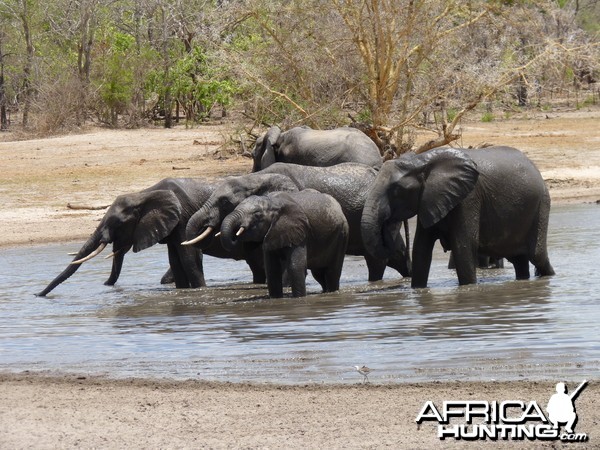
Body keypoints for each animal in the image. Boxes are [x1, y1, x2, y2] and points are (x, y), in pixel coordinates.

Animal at [221, 191, 350, 298]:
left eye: (257, 214)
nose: (235, 235)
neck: (272, 202)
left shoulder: (300, 232)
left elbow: (294, 267)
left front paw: (299, 299)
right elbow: (272, 269)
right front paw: (276, 299)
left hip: (342, 235)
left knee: (332, 272)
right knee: (319, 273)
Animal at [360, 148, 552, 288]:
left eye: (397, 191)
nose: (388, 224)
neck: (421, 161)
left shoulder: (468, 199)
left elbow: (463, 247)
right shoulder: (428, 200)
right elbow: (421, 249)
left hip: (541, 204)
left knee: (537, 255)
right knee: (519, 259)